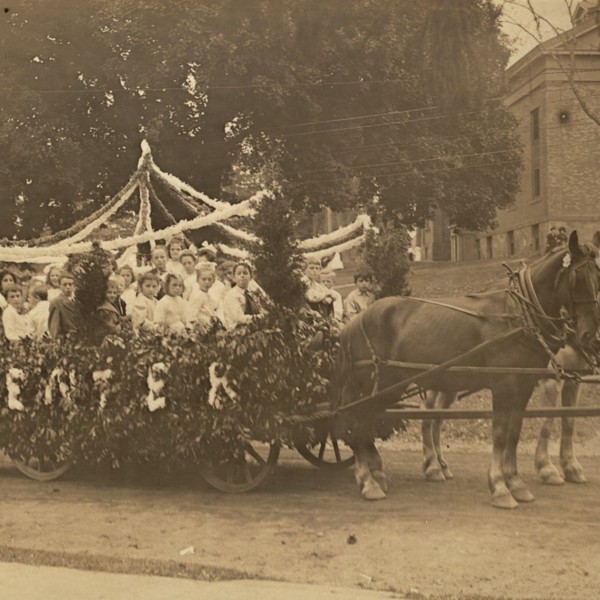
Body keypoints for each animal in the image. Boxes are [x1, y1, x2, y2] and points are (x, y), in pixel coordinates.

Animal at [336, 232, 596, 508]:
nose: (589, 333)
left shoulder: (525, 385)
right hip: (374, 384)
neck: (518, 314)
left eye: (598, 275)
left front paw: (516, 484)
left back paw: (380, 473)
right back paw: (369, 481)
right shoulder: (505, 385)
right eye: (579, 277)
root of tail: (357, 320)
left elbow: (516, 432)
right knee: (361, 423)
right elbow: (501, 433)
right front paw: (500, 487)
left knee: (378, 421)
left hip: (392, 386)